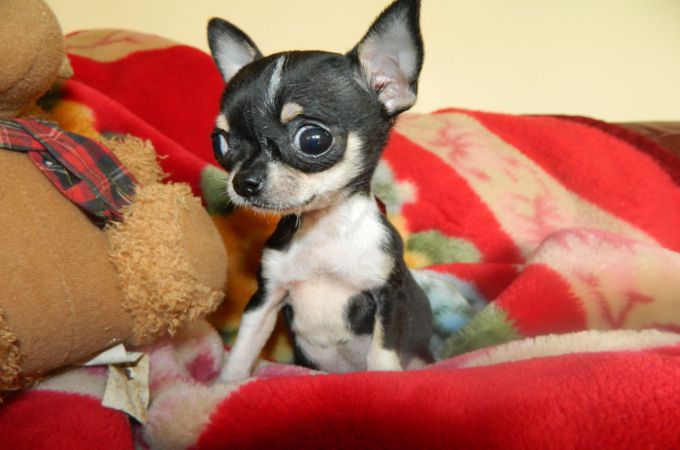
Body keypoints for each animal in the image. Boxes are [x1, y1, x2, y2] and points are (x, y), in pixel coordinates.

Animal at [209, 0, 430, 384]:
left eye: (313, 139)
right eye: (220, 143)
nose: (243, 182)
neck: (323, 229)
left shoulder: (388, 296)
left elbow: (382, 348)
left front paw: (384, 379)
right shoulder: (266, 298)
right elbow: (244, 347)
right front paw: (225, 384)